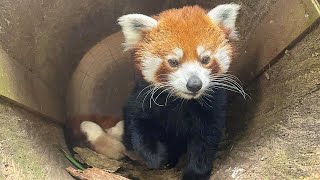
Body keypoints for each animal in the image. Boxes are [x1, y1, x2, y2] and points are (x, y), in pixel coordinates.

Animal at [76, 3, 244, 179]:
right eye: (173, 62)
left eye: (205, 59)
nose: (194, 84)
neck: (181, 102)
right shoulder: (142, 100)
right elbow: (139, 129)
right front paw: (157, 158)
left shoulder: (212, 108)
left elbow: (206, 142)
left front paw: (195, 172)